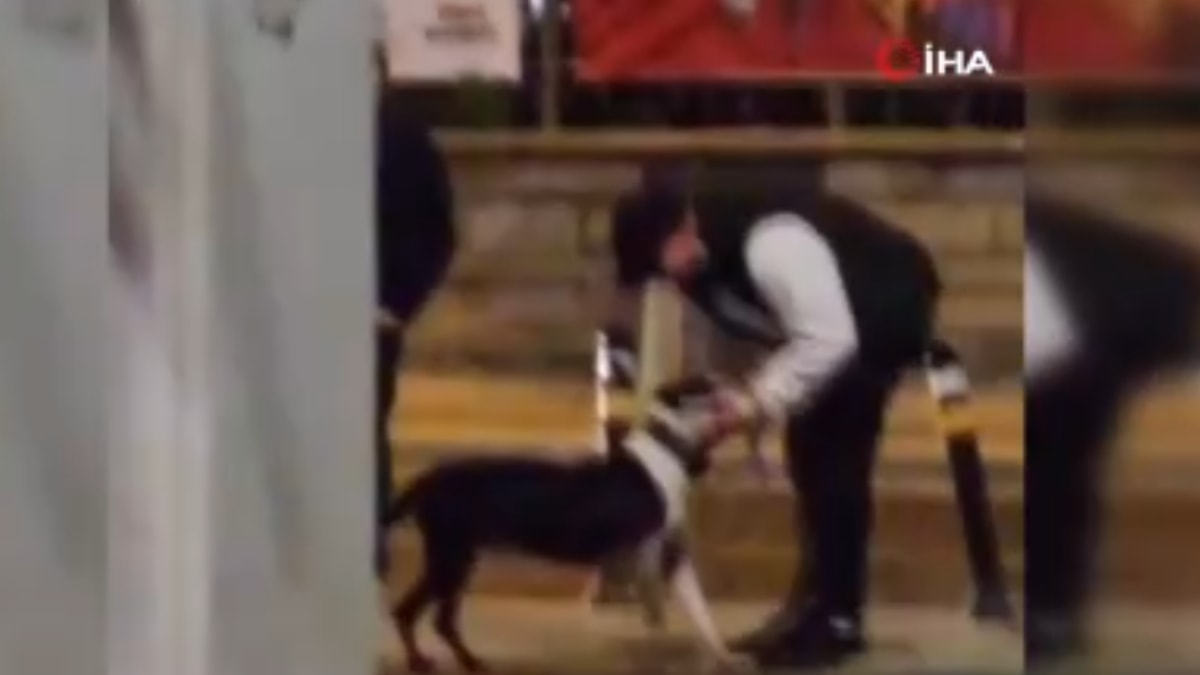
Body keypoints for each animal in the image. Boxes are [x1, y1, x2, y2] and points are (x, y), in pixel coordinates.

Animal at [385, 377, 735, 673]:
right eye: (705, 386)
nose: (731, 385)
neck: (667, 447)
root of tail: (427, 480)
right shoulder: (651, 555)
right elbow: (670, 612)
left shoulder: (669, 555)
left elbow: (699, 613)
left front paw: (721, 655)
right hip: (452, 558)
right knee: (434, 618)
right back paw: (461, 662)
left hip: (453, 558)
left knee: (410, 611)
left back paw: (427, 661)